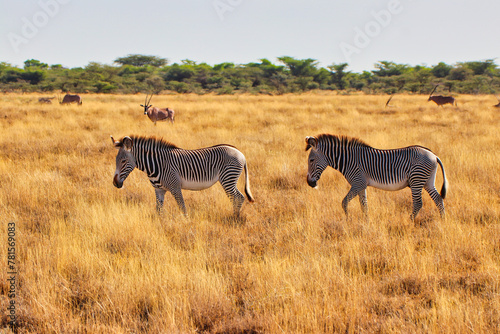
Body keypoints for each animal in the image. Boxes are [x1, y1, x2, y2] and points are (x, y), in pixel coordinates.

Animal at [112, 135, 254, 215]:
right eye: (116, 160)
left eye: (123, 161)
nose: (115, 183)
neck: (156, 165)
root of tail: (240, 153)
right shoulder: (158, 190)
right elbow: (158, 211)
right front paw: (160, 226)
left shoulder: (175, 187)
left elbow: (183, 208)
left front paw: (186, 225)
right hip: (229, 179)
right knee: (238, 198)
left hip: (228, 178)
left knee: (238, 198)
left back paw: (234, 219)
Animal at [304, 133, 450, 219]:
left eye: (311, 160)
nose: (310, 183)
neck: (348, 160)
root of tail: (434, 155)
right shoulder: (362, 185)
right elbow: (364, 205)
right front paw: (366, 222)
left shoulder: (358, 183)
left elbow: (344, 202)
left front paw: (347, 220)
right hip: (427, 181)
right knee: (438, 199)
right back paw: (442, 220)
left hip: (417, 180)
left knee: (418, 203)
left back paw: (410, 221)